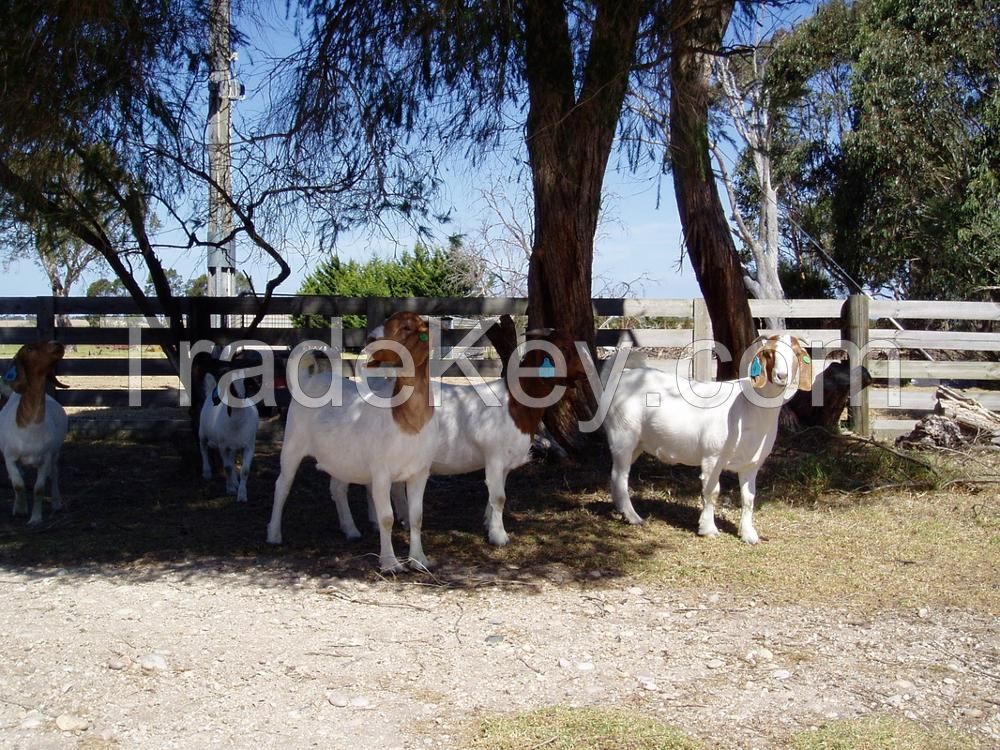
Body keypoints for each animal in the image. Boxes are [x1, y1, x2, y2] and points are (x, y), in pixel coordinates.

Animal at [0, 344, 69, 524]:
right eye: (29, 349)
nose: (58, 344)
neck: (29, 427)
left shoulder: (45, 458)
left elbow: (39, 489)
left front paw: (35, 519)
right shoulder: (9, 458)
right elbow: (18, 485)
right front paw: (20, 509)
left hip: (55, 454)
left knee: (55, 474)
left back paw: (57, 503)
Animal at [198, 372, 260, 506]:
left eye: (246, 384)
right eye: (231, 387)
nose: (239, 400)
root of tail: (212, 388)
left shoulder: (249, 446)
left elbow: (244, 470)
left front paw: (241, 494)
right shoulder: (223, 446)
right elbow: (227, 468)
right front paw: (230, 489)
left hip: (233, 445)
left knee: (231, 460)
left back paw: (235, 482)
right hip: (202, 433)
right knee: (203, 449)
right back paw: (207, 472)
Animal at [266, 308, 438, 572]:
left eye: (408, 327)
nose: (371, 338)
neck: (406, 419)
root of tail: (308, 380)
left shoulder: (420, 472)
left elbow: (416, 517)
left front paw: (419, 560)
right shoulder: (381, 472)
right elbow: (386, 518)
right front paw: (390, 564)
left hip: (341, 459)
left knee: (337, 488)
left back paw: (350, 529)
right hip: (292, 444)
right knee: (282, 486)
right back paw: (274, 534)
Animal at [604, 338, 808, 544]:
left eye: (797, 353)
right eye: (768, 353)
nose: (782, 376)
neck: (748, 408)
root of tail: (622, 375)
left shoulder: (751, 464)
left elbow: (749, 498)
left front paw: (749, 534)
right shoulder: (713, 456)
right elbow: (712, 491)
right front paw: (708, 528)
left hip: (637, 443)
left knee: (615, 476)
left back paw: (623, 511)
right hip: (623, 435)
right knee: (620, 476)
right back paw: (633, 517)